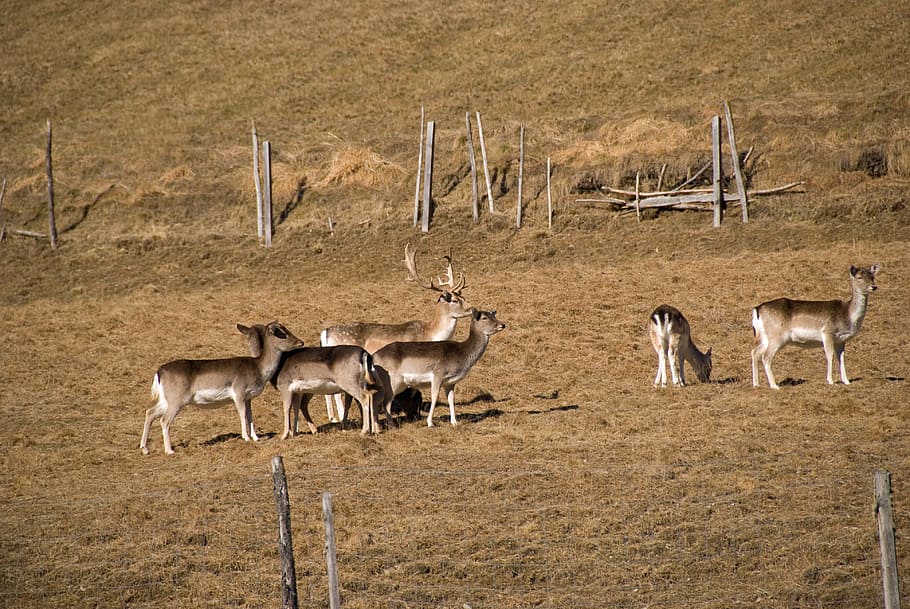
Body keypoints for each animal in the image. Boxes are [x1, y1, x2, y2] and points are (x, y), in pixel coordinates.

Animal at [141, 321, 304, 455]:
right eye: (282, 333)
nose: (300, 342)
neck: (258, 369)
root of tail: (159, 372)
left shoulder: (249, 397)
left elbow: (250, 415)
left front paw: (256, 438)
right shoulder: (238, 391)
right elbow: (242, 414)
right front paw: (246, 438)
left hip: (165, 400)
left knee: (150, 412)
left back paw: (145, 448)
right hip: (176, 400)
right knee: (164, 420)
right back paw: (169, 450)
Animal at [319, 242, 472, 423]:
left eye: (463, 297)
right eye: (454, 300)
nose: (471, 309)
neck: (430, 333)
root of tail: (326, 332)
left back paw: (333, 417)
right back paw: (342, 416)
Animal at [371, 309, 506, 428]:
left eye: (493, 315)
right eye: (484, 317)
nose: (502, 324)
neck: (462, 354)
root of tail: (374, 356)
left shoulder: (450, 382)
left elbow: (451, 399)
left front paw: (454, 422)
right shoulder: (438, 374)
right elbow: (434, 397)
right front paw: (430, 423)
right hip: (393, 381)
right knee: (385, 402)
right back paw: (391, 425)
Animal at [751, 264, 880, 389]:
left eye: (873, 276)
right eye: (859, 277)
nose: (874, 287)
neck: (848, 315)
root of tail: (757, 309)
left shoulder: (841, 340)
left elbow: (841, 358)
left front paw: (847, 381)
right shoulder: (828, 332)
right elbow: (829, 355)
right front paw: (831, 381)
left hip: (765, 337)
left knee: (755, 352)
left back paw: (756, 384)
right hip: (777, 336)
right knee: (766, 356)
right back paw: (774, 386)